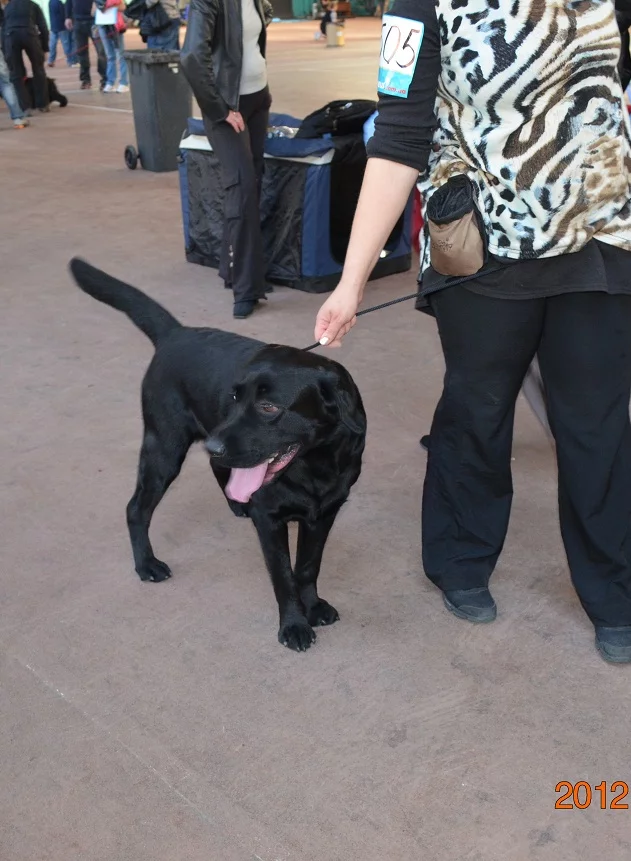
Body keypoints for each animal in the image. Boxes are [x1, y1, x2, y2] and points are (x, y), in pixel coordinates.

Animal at [69, 259, 366, 651]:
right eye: (236, 397)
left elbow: (307, 567)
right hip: (164, 449)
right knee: (137, 508)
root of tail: (176, 333)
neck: (314, 465)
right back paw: (147, 564)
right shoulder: (270, 519)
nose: (214, 444)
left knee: (215, 469)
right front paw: (294, 624)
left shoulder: (324, 513)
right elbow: (283, 575)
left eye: (269, 407)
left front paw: (313, 606)